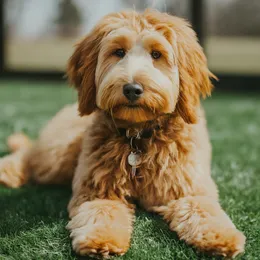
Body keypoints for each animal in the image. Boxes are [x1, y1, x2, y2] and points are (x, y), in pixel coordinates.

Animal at [0, 9, 246, 258]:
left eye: (157, 54)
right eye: (118, 52)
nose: (132, 89)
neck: (139, 136)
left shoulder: (189, 188)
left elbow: (202, 208)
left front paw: (221, 236)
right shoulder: (98, 190)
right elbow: (102, 211)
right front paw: (101, 239)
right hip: (57, 156)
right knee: (31, 154)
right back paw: (8, 170)